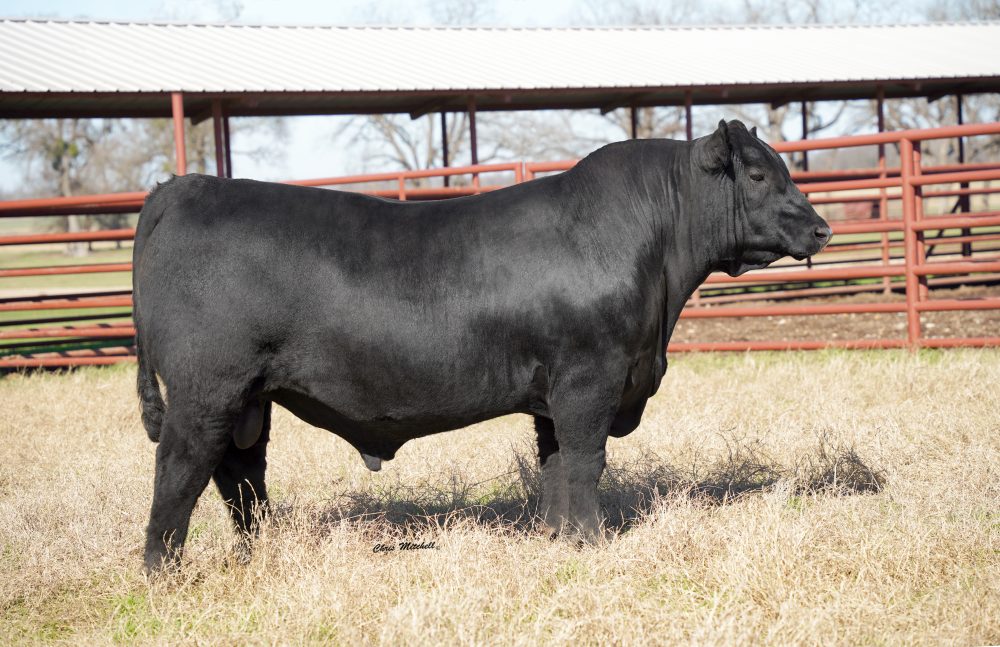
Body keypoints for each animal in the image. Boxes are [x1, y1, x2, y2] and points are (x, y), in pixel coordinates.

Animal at [134, 119, 831, 571]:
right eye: (760, 172)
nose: (823, 228)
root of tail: (186, 185)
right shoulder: (589, 380)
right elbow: (587, 462)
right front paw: (593, 543)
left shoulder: (554, 395)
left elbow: (554, 467)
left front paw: (559, 539)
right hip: (207, 388)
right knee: (181, 468)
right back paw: (163, 569)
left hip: (250, 396)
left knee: (240, 474)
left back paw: (260, 553)